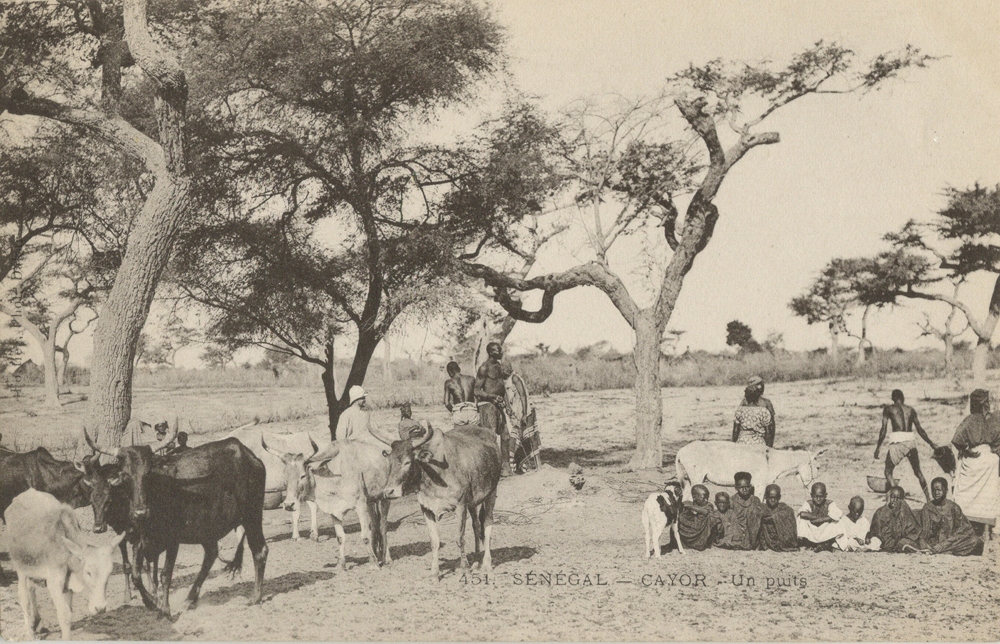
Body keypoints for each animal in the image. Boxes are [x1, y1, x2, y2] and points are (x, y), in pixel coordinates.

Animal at [6, 490, 124, 636]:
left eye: (109, 572)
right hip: (21, 567)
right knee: (24, 596)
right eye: (88, 572)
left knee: (32, 589)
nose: (100, 608)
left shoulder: (68, 585)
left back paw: (37, 622)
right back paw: (29, 632)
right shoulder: (54, 582)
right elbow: (64, 616)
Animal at [84, 428, 268, 612]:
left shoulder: (173, 540)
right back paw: (190, 598)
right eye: (125, 476)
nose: (140, 512)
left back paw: (255, 596)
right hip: (208, 529)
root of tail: (248, 455)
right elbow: (137, 575)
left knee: (260, 551)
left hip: (252, 515)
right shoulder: (139, 540)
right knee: (211, 554)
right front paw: (151, 601)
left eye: (147, 474)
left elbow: (165, 574)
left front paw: (165, 607)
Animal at [676, 440, 824, 500]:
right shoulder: (760, 484)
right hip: (697, 478)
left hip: (687, 480)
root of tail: (680, 451)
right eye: (818, 467)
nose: (814, 488)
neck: (772, 460)